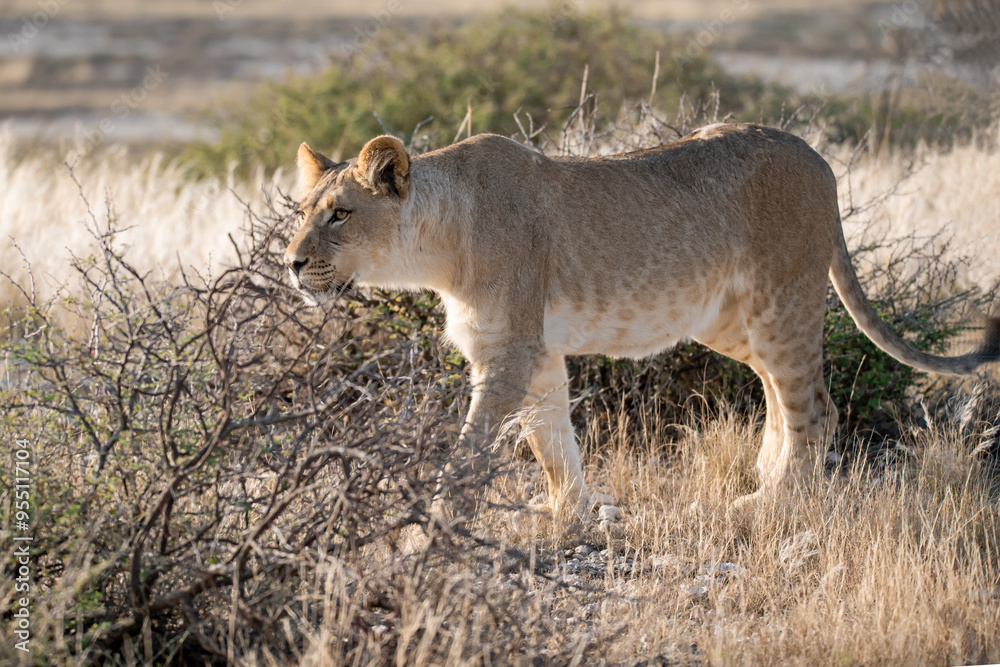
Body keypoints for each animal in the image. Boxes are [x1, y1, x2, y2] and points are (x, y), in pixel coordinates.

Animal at [284, 124, 999, 516]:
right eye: (301, 211)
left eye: (340, 214)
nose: (290, 263)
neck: (438, 243)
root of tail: (817, 156)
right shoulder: (536, 352)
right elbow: (553, 443)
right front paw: (568, 515)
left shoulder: (508, 351)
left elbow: (470, 447)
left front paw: (428, 529)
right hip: (731, 321)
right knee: (779, 392)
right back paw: (763, 477)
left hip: (783, 300)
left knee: (816, 406)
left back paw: (771, 503)